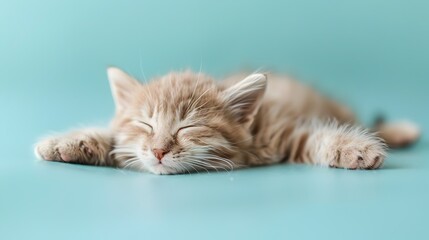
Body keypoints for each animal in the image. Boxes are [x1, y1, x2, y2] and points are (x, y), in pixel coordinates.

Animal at [33, 67, 418, 174]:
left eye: (188, 127)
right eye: (146, 125)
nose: (158, 152)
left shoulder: (282, 129)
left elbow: (316, 137)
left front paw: (355, 149)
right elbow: (114, 140)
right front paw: (64, 143)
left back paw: (402, 131)